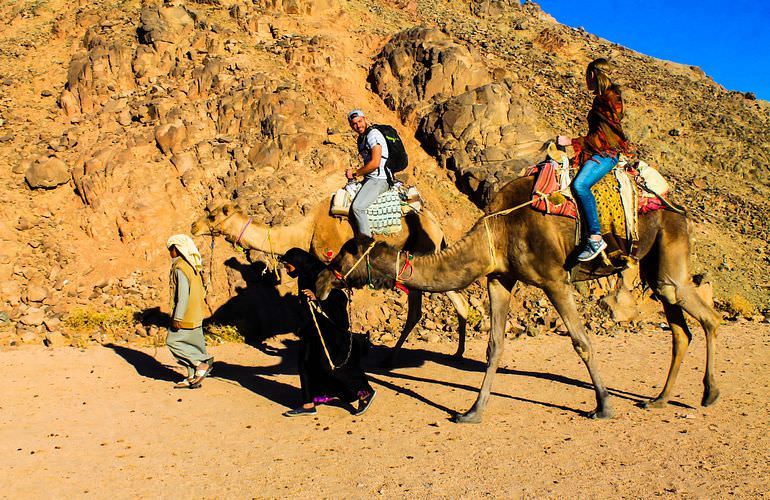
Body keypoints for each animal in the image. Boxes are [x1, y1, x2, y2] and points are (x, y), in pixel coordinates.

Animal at [190, 199, 468, 360]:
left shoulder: (333, 266)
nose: (193, 226)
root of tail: (436, 224)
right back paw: (458, 352)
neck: (306, 231)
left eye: (213, 216)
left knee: (416, 311)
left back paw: (390, 358)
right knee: (458, 301)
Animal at [314, 176, 720, 422]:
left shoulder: (554, 278)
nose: (318, 282)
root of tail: (673, 204)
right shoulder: (499, 278)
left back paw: (709, 393)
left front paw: (604, 406)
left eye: (346, 254)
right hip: (654, 266)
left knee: (706, 316)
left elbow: (581, 341)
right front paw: (472, 412)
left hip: (670, 250)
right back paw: (660, 399)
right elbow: (494, 345)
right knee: (680, 329)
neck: (496, 233)